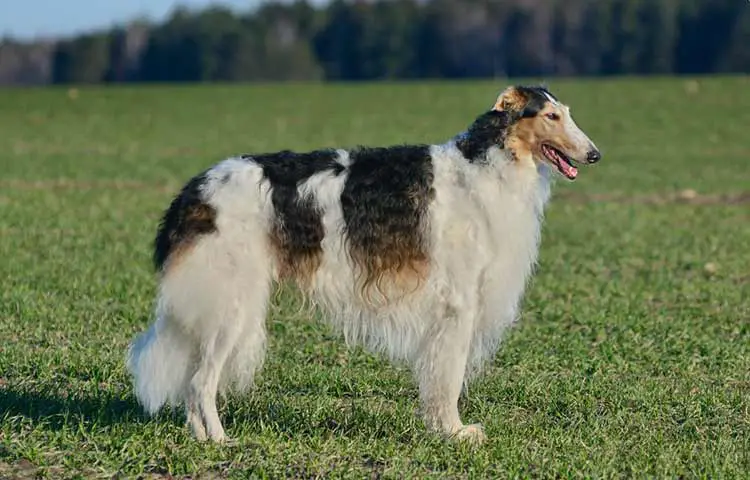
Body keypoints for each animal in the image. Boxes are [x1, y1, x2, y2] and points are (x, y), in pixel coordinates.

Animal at [126, 83, 604, 442]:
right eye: (551, 116)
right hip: (232, 304)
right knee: (200, 383)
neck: (486, 162)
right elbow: (447, 378)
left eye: (567, 112)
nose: (595, 154)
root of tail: (195, 189)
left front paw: (441, 429)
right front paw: (455, 432)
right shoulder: (458, 304)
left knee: (193, 384)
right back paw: (220, 441)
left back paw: (204, 437)